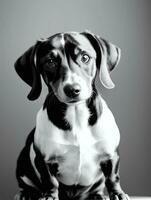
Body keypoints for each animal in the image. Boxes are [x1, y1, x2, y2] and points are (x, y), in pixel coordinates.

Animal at [13, 30, 129, 200]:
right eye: (50, 62)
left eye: (85, 57)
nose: (72, 89)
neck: (76, 116)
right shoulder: (44, 159)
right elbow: (50, 181)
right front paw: (49, 196)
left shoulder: (111, 154)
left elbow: (113, 177)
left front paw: (117, 194)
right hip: (23, 162)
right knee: (26, 183)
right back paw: (25, 193)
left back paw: (98, 195)